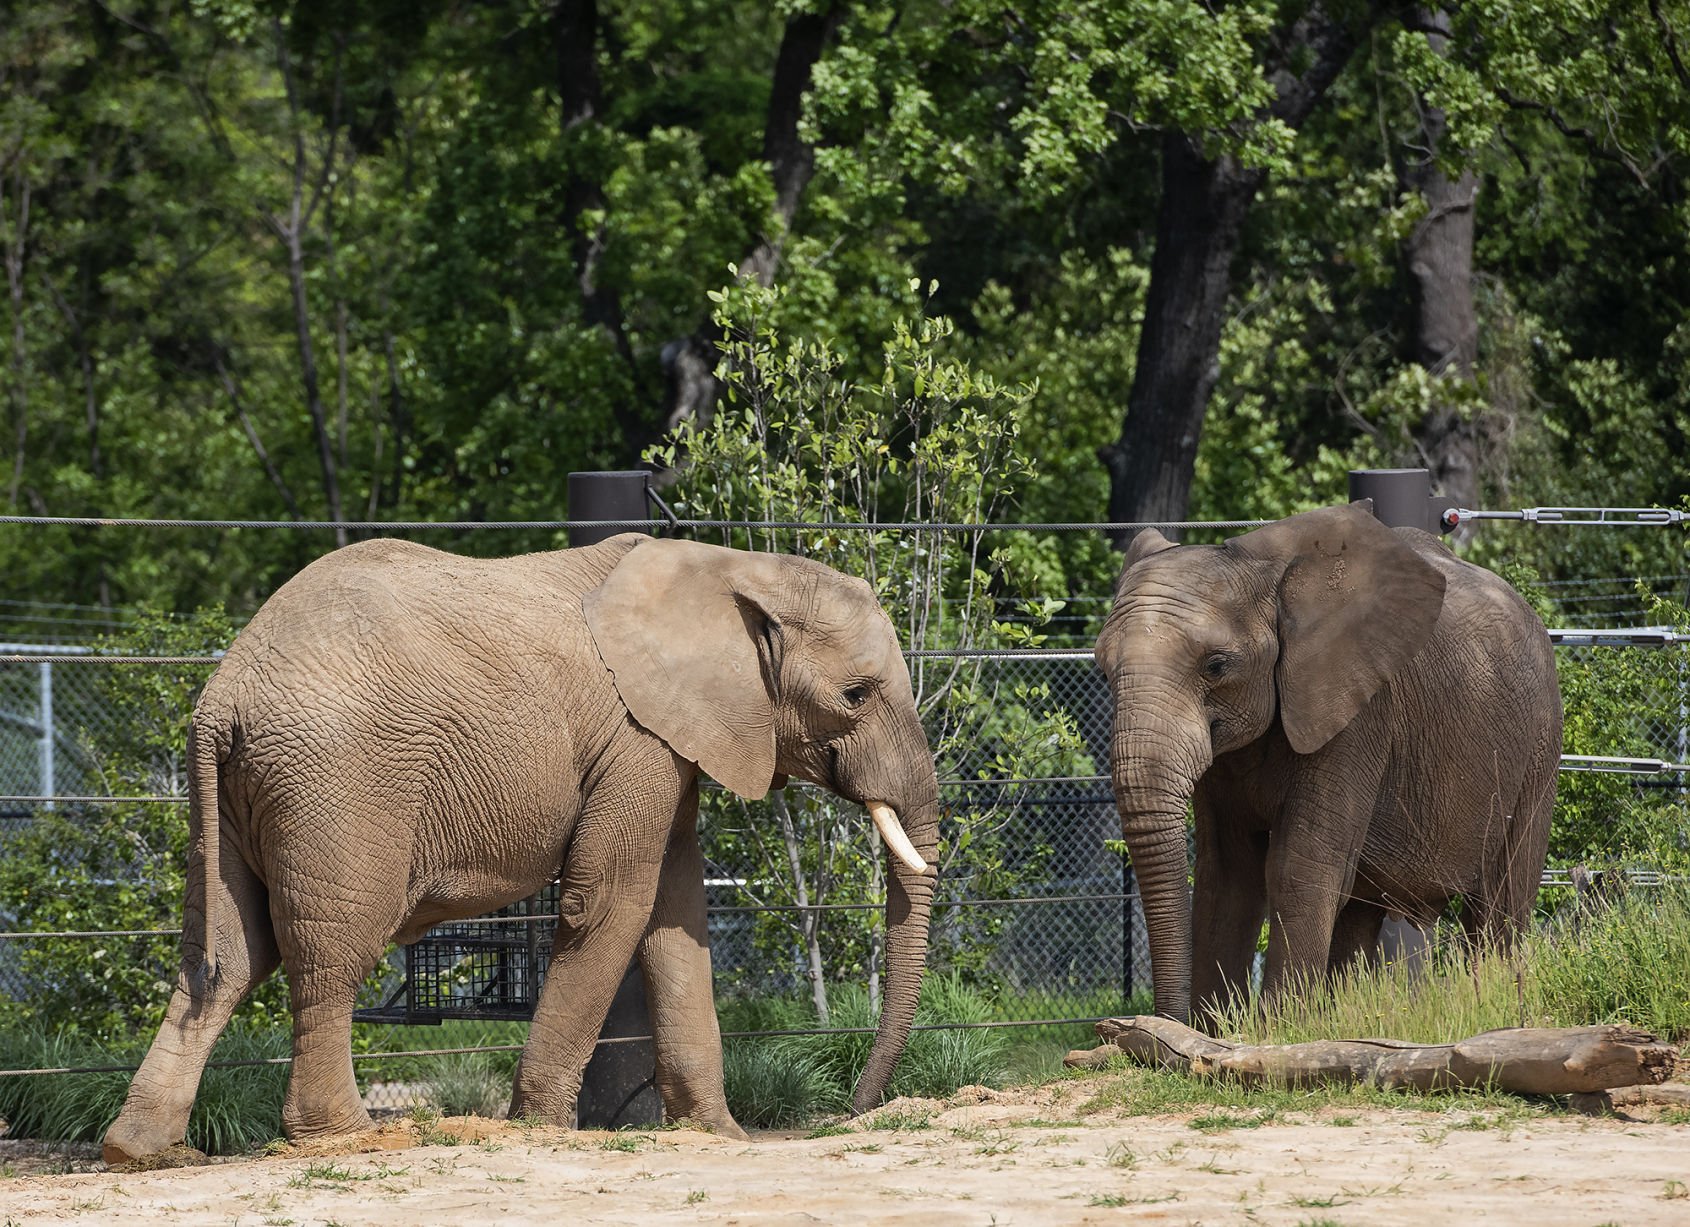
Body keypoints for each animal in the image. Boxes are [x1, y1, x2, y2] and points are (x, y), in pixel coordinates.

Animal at [102, 537, 953, 1162]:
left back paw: (140, 1152)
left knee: (223, 952)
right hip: (337, 784)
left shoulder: (666, 742)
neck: (733, 565)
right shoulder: (636, 733)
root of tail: (222, 695)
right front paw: (540, 1127)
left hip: (244, 794)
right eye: (856, 695)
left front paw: (717, 1134)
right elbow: (611, 901)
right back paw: (351, 1138)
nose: (852, 1108)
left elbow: (675, 909)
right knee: (328, 954)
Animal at [1101, 503, 1561, 1027]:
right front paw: (1214, 1032)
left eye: (1216, 666)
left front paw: (1275, 1032)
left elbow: (1296, 869)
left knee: (1501, 902)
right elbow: (1228, 875)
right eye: (1103, 669)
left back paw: (1498, 1009)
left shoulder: (1359, 713)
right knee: (1359, 911)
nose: (1159, 1021)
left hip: (1539, 745)